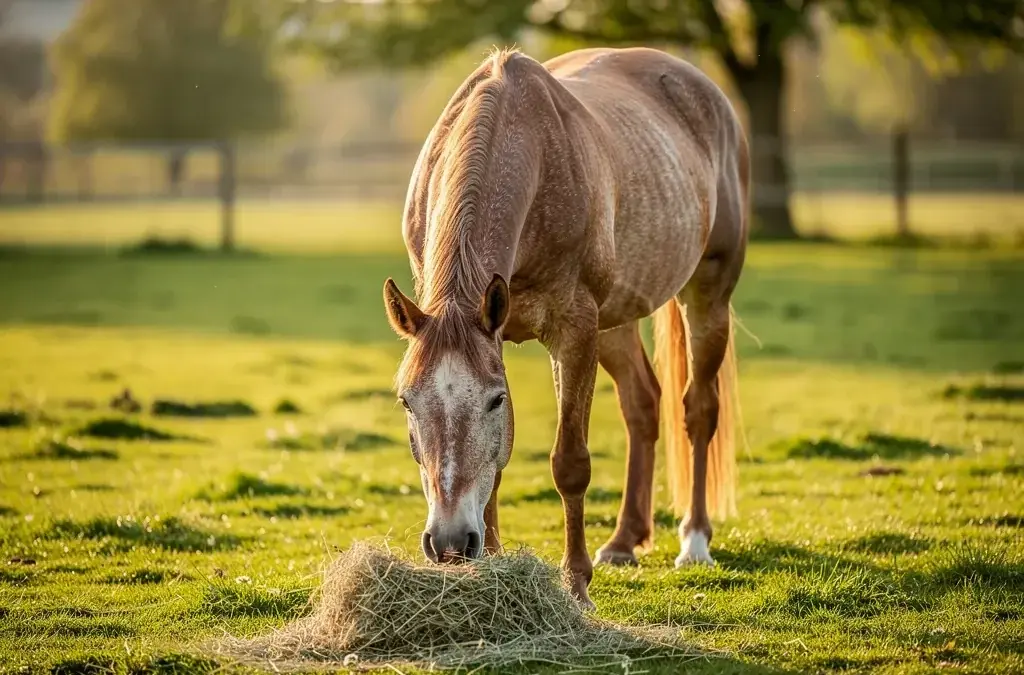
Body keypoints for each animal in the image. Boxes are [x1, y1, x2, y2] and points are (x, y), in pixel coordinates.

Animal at [382, 46, 748, 609]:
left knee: (699, 411)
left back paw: (694, 542)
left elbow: (570, 462)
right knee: (643, 404)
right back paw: (623, 541)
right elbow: (498, 464)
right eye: (406, 401)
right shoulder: (499, 334)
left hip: (706, 296)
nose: (450, 543)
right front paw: (491, 567)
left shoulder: (573, 330)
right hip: (614, 323)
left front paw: (575, 585)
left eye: (494, 401)